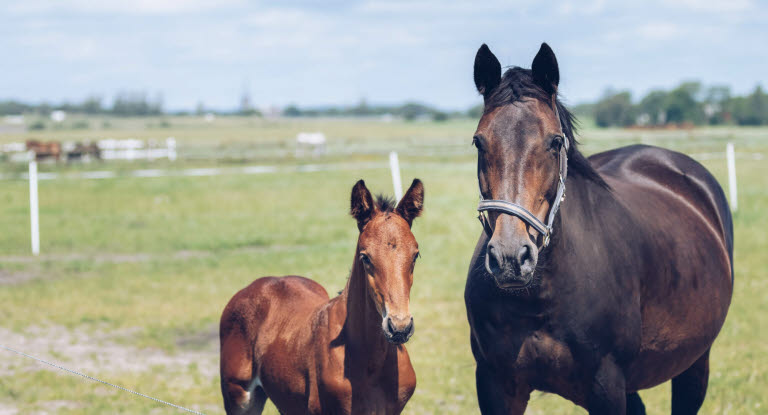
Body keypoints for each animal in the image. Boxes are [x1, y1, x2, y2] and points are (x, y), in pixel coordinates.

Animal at [464, 43, 736, 415]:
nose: (509, 258)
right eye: (479, 142)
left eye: (554, 142)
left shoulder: (606, 386)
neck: (540, 298)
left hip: (695, 362)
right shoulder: (495, 385)